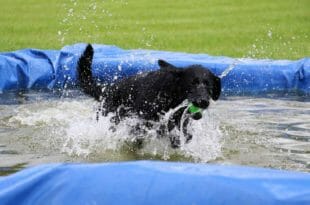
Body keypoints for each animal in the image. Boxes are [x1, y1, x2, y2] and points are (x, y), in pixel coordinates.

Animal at [78, 44, 222, 147]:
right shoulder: (141, 122)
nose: (203, 101)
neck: (170, 93)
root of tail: (108, 89)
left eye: (209, 86)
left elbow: (181, 132)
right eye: (192, 83)